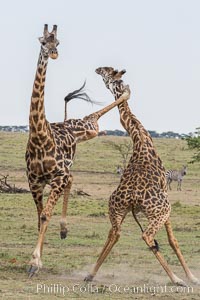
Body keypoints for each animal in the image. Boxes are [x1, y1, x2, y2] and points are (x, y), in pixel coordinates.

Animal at [26, 27, 131, 278]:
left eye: (58, 42)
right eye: (43, 42)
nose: (53, 54)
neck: (39, 137)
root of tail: (67, 123)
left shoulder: (56, 177)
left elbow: (45, 215)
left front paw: (35, 262)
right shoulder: (34, 182)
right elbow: (40, 217)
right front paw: (38, 258)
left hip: (88, 130)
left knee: (93, 118)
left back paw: (124, 92)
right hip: (67, 164)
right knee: (72, 178)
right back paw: (63, 230)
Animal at [83, 67, 198, 286]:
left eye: (107, 72)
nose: (97, 69)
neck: (139, 136)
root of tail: (133, 196)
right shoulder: (166, 193)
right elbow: (173, 240)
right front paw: (192, 276)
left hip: (117, 208)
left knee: (114, 233)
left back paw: (90, 273)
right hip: (160, 211)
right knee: (147, 236)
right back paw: (176, 278)